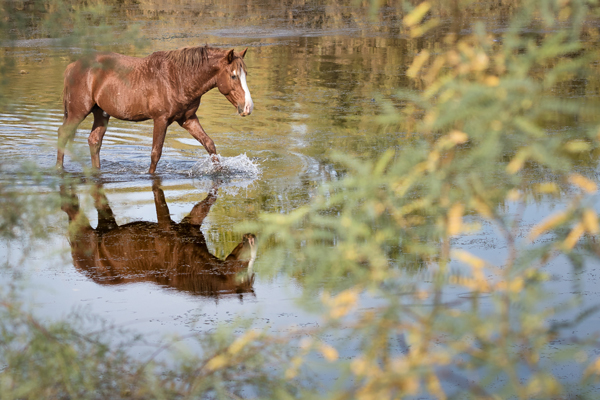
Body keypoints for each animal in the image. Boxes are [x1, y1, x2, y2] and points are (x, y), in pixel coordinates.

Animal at [55, 45, 254, 173]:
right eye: (233, 76)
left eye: (246, 74)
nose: (248, 107)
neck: (179, 78)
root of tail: (73, 66)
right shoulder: (161, 120)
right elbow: (155, 154)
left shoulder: (187, 119)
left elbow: (209, 144)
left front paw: (220, 171)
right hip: (78, 112)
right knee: (63, 133)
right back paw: (58, 169)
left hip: (101, 113)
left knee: (94, 141)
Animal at [59, 180, 256, 298]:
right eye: (243, 269)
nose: (251, 236)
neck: (191, 264)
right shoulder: (167, 224)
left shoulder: (191, 224)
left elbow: (207, 203)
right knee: (71, 209)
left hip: (106, 225)